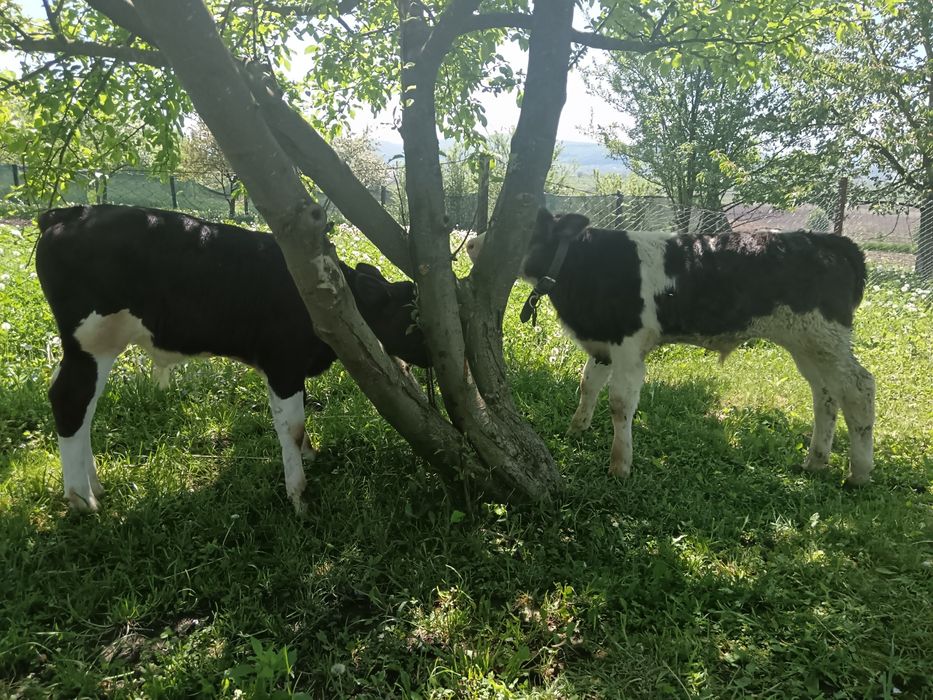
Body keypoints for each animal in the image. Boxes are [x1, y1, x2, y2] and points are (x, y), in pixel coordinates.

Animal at [36, 204, 429, 514]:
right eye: (414, 318)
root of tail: (72, 213)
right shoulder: (283, 363)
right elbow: (292, 425)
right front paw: (298, 494)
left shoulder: (289, 368)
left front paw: (308, 456)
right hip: (93, 341)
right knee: (70, 398)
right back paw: (82, 498)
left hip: (87, 347)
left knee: (82, 406)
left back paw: (93, 485)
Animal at [468, 209, 875, 486]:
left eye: (526, 232)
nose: (471, 243)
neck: (584, 266)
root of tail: (826, 239)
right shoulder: (603, 341)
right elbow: (588, 384)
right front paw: (576, 429)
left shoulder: (629, 346)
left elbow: (620, 404)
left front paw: (620, 464)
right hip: (808, 345)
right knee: (825, 395)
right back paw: (816, 461)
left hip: (824, 338)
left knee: (858, 387)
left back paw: (859, 473)